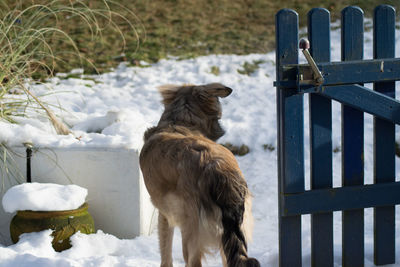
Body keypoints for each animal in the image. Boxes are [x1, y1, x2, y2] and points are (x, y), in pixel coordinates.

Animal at [140, 82, 260, 266]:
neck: (179, 122)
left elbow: (166, 255)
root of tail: (219, 170)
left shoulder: (165, 215)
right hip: (229, 235)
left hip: (191, 235)